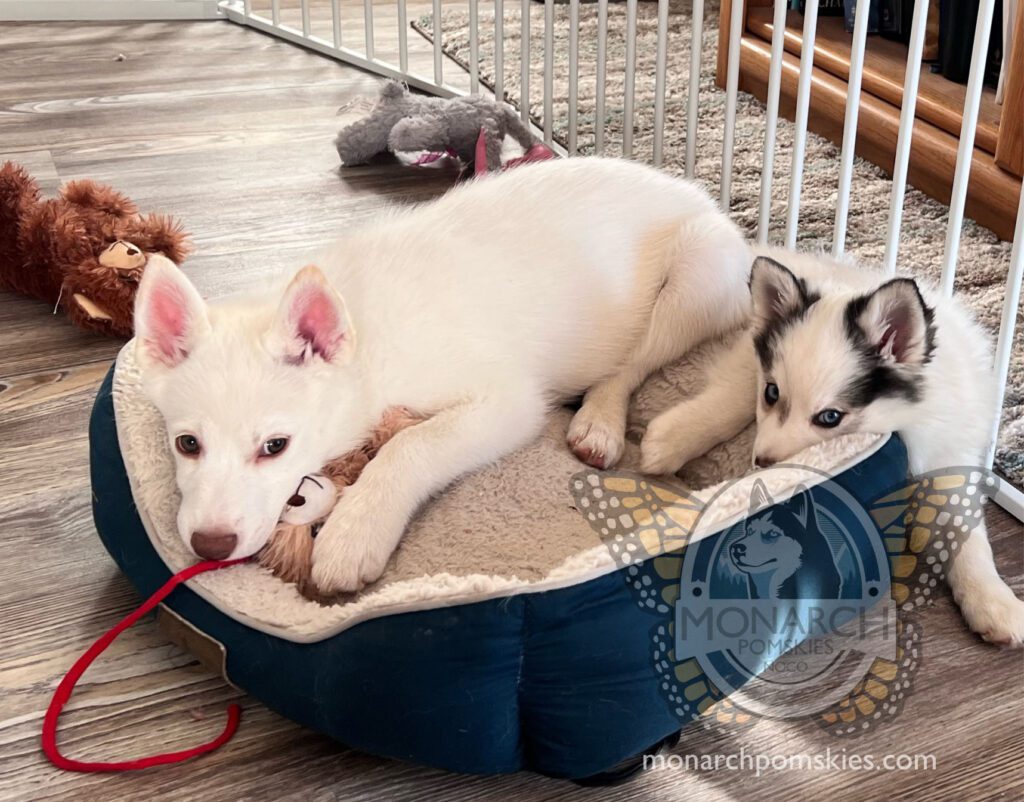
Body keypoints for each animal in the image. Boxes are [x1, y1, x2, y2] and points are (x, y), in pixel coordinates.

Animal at [132, 158, 749, 594]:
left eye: (275, 446)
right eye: (186, 444)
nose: (211, 546)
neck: (368, 341)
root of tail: (699, 193)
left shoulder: (510, 403)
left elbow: (411, 444)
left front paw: (355, 532)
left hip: (698, 275)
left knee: (631, 363)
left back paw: (599, 423)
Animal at [638, 250, 1024, 647]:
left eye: (830, 417)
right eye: (772, 392)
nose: (763, 464)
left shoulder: (949, 455)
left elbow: (966, 533)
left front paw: (993, 601)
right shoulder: (749, 351)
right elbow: (733, 396)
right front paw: (672, 439)